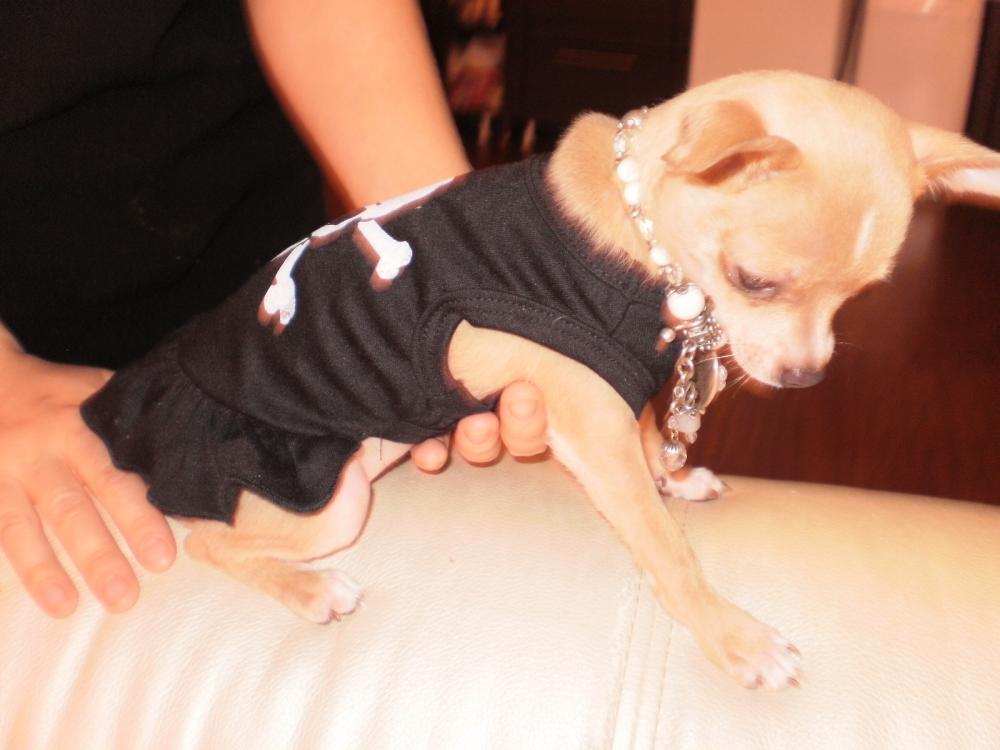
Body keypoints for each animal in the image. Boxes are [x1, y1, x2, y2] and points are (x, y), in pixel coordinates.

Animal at [83, 71, 1000, 691]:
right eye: (755, 281)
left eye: (861, 297)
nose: (805, 377)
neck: (639, 240)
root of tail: (131, 413)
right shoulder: (591, 421)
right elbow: (664, 550)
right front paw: (732, 637)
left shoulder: (625, 392)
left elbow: (653, 442)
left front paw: (676, 478)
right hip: (326, 501)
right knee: (207, 543)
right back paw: (309, 591)